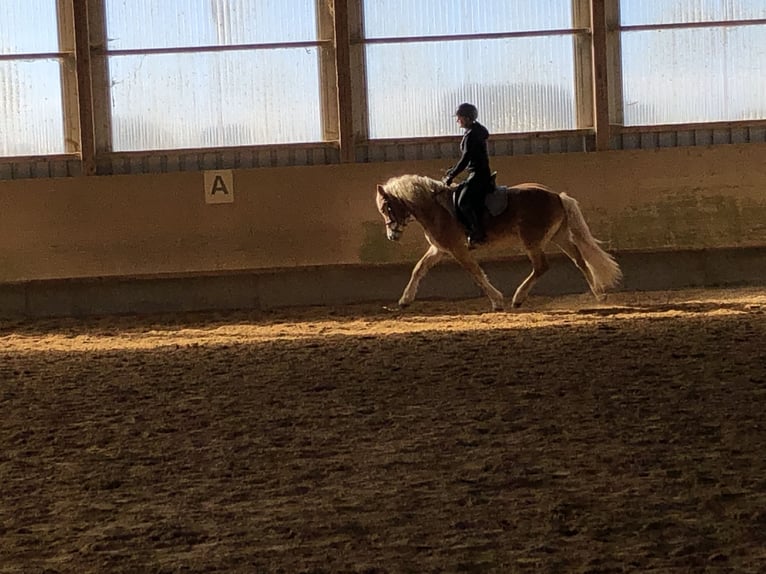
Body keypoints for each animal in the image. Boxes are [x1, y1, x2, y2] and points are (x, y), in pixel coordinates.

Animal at [378, 174, 624, 312]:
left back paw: (518, 299)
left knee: (541, 266)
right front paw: (405, 301)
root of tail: (556, 196)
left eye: (387, 207)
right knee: (579, 260)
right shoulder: (439, 249)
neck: (437, 209)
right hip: (559, 236)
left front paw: (497, 301)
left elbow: (476, 273)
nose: (392, 236)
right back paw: (599, 294)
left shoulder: (457, 249)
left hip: (532, 241)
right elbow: (419, 269)